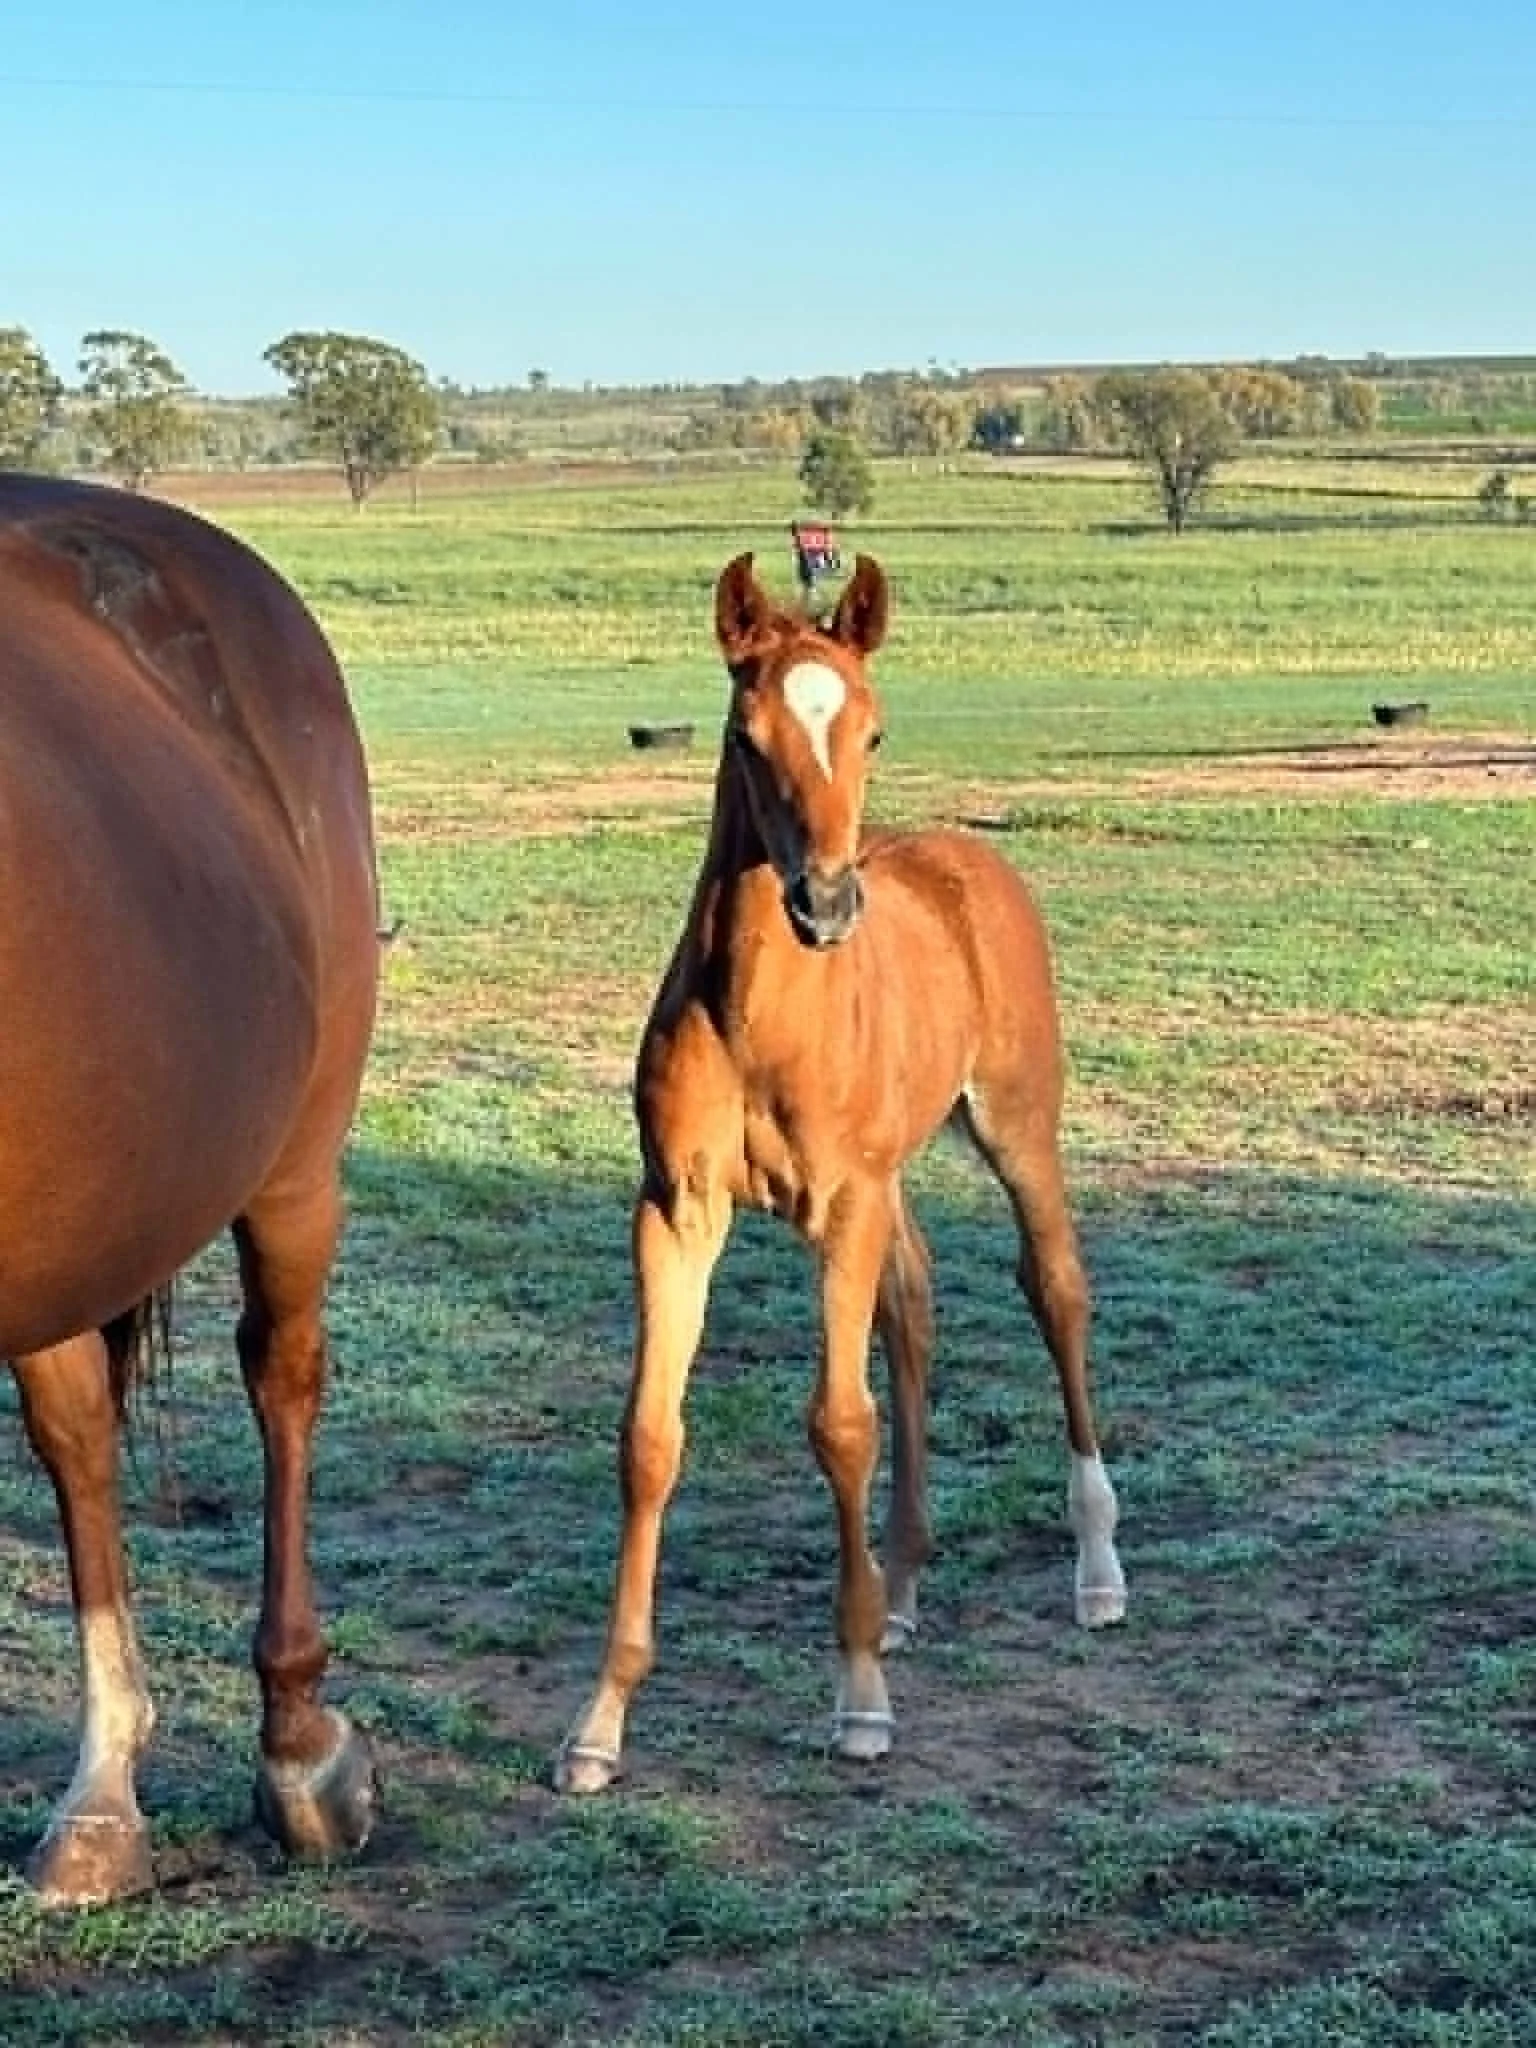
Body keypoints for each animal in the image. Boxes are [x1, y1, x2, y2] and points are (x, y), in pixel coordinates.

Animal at [557, 551, 1125, 1793]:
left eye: (871, 728)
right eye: (745, 731)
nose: (825, 901)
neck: (761, 1017)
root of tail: (969, 854)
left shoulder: (843, 1204)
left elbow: (840, 1421)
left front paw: (859, 1696)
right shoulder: (676, 1210)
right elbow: (650, 1435)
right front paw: (600, 1719)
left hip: (1018, 1129)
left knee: (1056, 1289)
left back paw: (1097, 1567)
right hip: (896, 1174)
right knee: (915, 1305)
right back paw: (904, 1586)